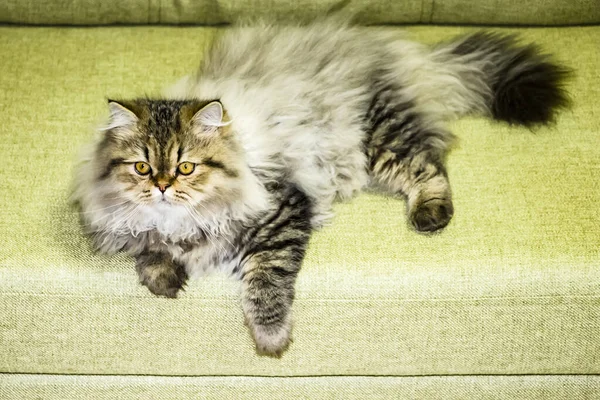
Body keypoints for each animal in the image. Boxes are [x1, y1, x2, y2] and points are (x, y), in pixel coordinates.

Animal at [72, 21, 568, 354]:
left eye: (186, 167)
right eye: (142, 167)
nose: (161, 186)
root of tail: (404, 55)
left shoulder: (283, 208)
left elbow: (265, 280)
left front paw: (271, 337)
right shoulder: (134, 227)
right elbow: (147, 250)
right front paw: (164, 278)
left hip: (379, 140)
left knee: (429, 168)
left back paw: (430, 214)